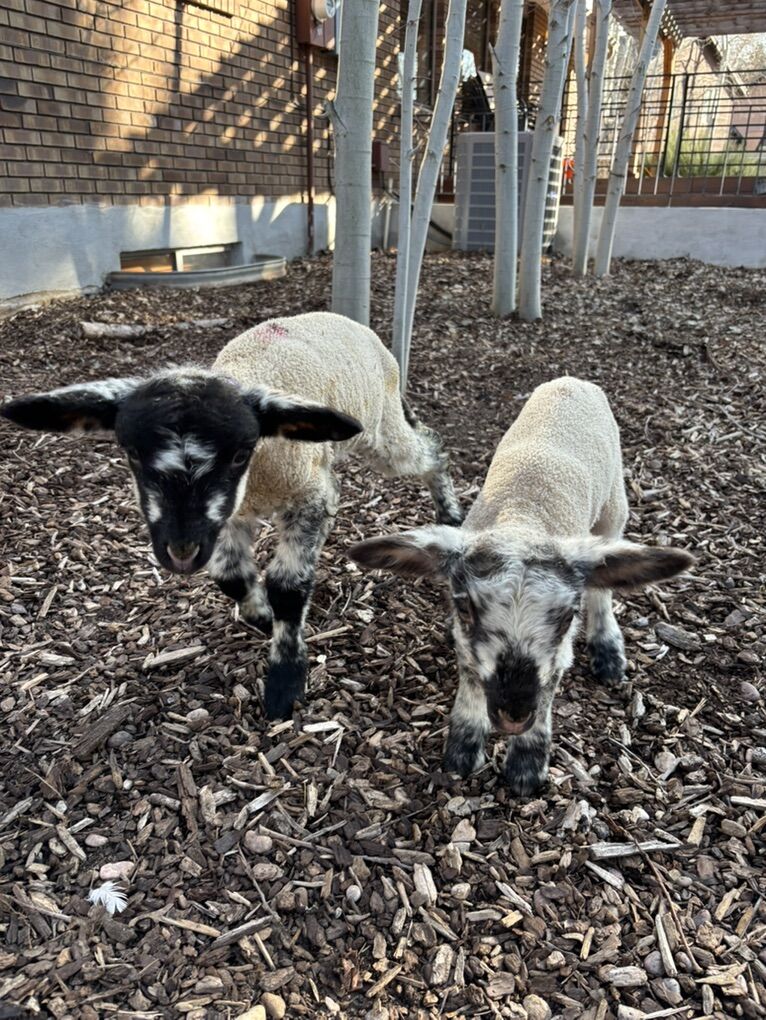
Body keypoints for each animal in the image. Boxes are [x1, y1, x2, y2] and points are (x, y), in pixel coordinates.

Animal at [1, 311, 463, 720]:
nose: (180, 552)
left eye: (241, 453)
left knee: (429, 450)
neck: (256, 481)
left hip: (380, 427)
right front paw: (260, 615)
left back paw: (452, 513)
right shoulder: (225, 518)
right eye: (130, 453)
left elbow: (288, 586)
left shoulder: (307, 498)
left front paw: (285, 682)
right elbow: (230, 576)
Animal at [348, 377, 694, 796]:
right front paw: (463, 749)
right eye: (463, 607)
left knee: (603, 585)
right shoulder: (467, 640)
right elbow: (470, 677)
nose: (513, 714)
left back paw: (608, 651)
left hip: (614, 505)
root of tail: (571, 381)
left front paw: (526, 767)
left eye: (568, 616)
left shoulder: (557, 653)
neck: (523, 516)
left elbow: (547, 692)